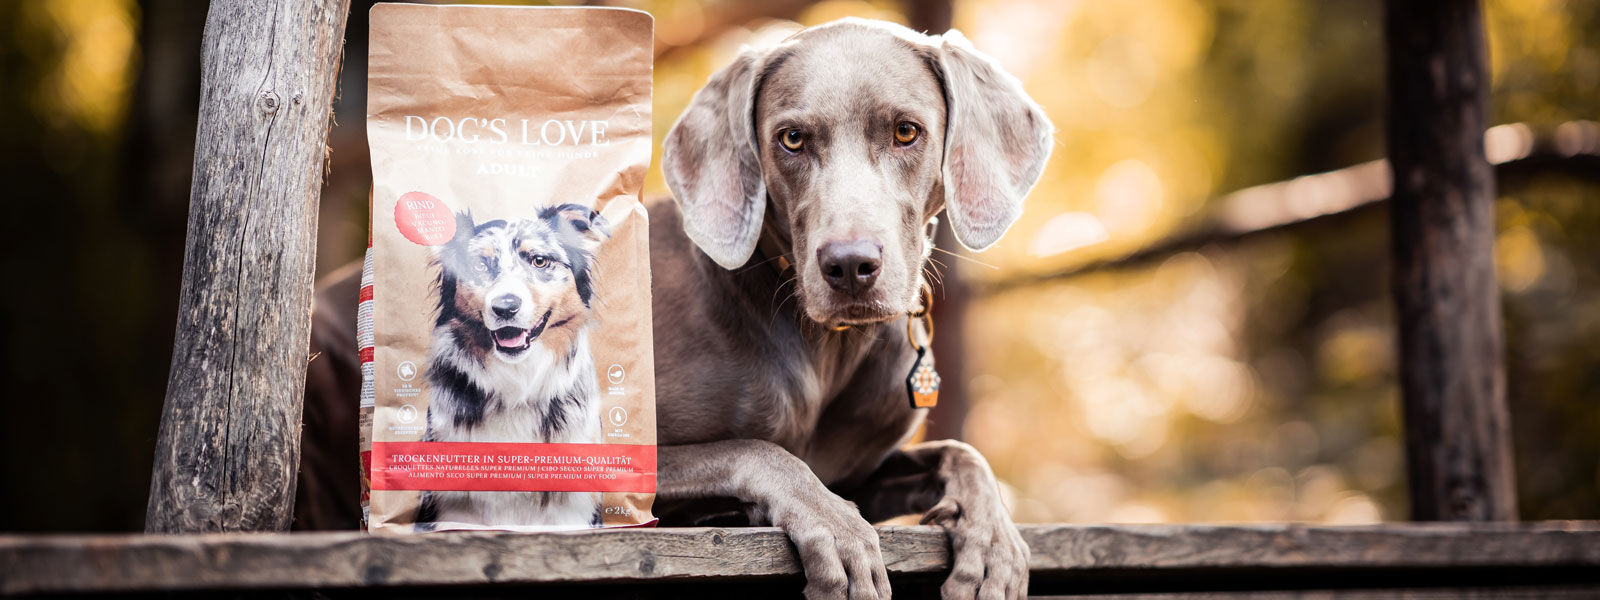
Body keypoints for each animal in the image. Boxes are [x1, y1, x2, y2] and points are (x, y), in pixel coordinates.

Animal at [299, 16, 1056, 598]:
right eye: (792, 138)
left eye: (906, 132)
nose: (849, 266)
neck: (822, 344)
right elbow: (756, 449)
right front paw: (835, 528)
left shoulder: (863, 469)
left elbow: (960, 451)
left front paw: (993, 539)